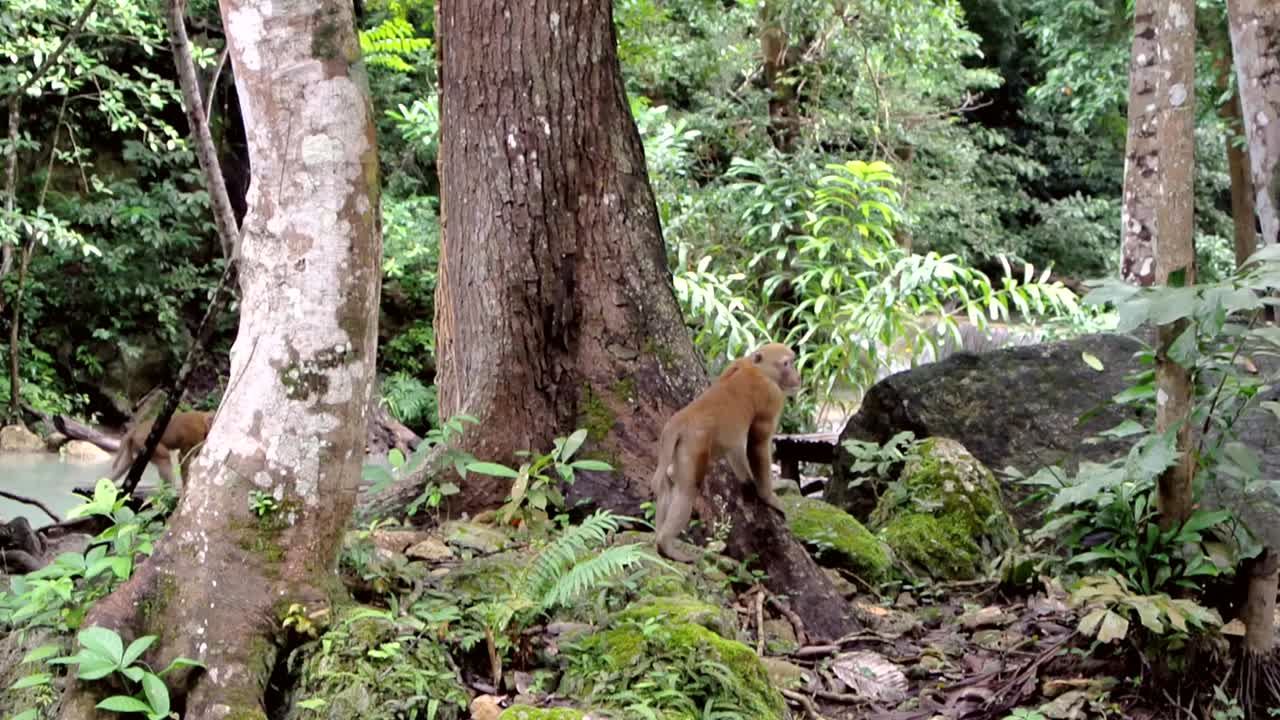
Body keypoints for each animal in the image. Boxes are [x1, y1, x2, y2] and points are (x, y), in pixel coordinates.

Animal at [650, 342, 802, 562]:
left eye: (792, 361)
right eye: (786, 363)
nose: (798, 376)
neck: (757, 368)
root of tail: (682, 418)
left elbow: (737, 446)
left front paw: (748, 480)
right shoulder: (772, 395)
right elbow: (757, 444)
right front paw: (768, 496)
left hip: (678, 449)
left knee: (668, 483)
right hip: (695, 444)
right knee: (687, 489)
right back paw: (665, 544)